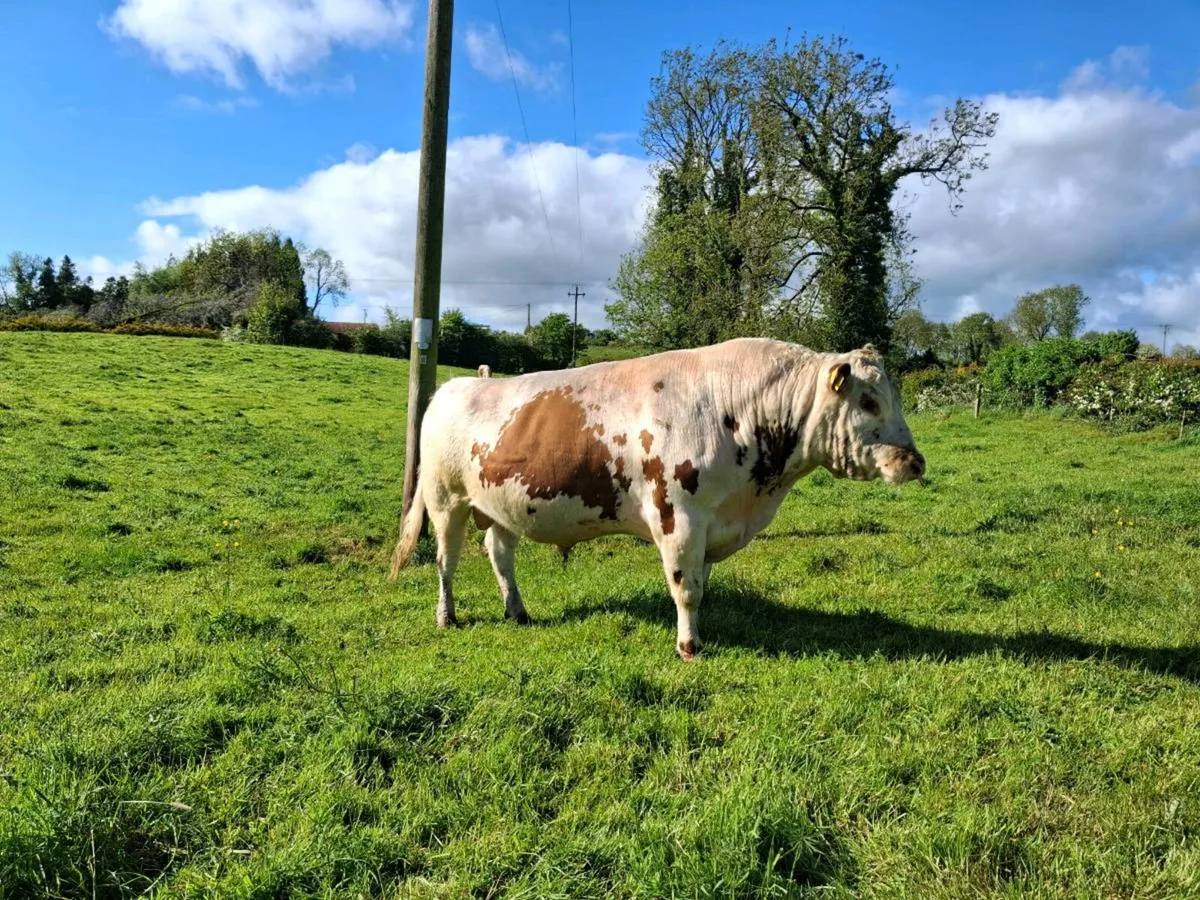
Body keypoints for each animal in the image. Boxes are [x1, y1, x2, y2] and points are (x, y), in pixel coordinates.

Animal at [390, 337, 924, 660]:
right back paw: (447, 617)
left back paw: (517, 612)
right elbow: (685, 588)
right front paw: (689, 647)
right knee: (446, 561)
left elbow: (702, 585)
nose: (915, 462)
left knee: (499, 554)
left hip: (502, 505)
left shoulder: (713, 524)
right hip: (446, 500)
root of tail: (455, 385)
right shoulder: (679, 518)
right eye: (868, 401)